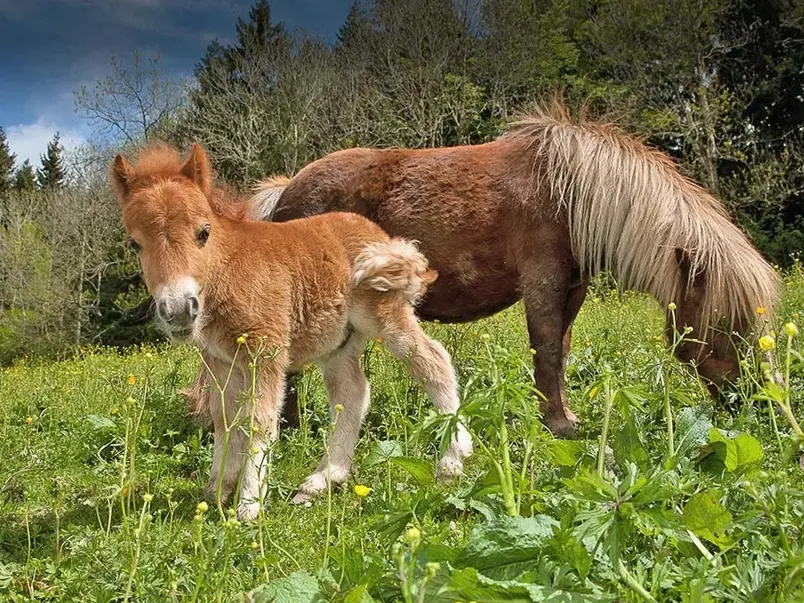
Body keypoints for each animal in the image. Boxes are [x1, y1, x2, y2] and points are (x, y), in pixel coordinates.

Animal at [110, 142, 472, 520]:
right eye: (135, 244)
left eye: (203, 232)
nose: (179, 308)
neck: (226, 271)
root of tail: (380, 235)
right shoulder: (220, 359)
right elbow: (224, 419)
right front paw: (216, 492)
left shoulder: (266, 349)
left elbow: (259, 419)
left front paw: (249, 505)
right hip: (338, 343)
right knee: (353, 393)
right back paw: (323, 479)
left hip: (384, 315)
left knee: (432, 362)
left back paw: (452, 461)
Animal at [239, 104, 780, 437]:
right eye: (730, 324)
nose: (760, 401)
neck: (570, 190)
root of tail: (288, 189)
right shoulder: (543, 283)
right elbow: (546, 351)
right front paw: (558, 424)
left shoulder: (573, 290)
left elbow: (560, 349)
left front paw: (561, 414)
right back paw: (288, 429)